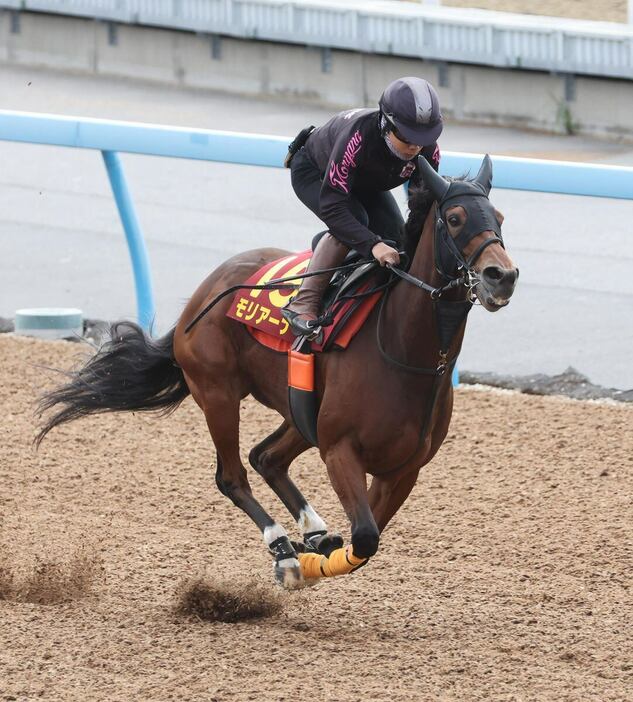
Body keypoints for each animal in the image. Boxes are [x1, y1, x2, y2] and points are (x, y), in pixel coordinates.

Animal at [37, 157, 516, 592]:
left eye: (499, 218)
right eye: (454, 218)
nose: (502, 276)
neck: (405, 352)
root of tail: (202, 294)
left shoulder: (404, 468)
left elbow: (368, 541)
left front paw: (319, 552)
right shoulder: (340, 450)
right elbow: (364, 538)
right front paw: (302, 566)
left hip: (298, 411)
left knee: (266, 457)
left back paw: (315, 532)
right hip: (218, 394)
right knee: (232, 476)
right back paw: (284, 548)